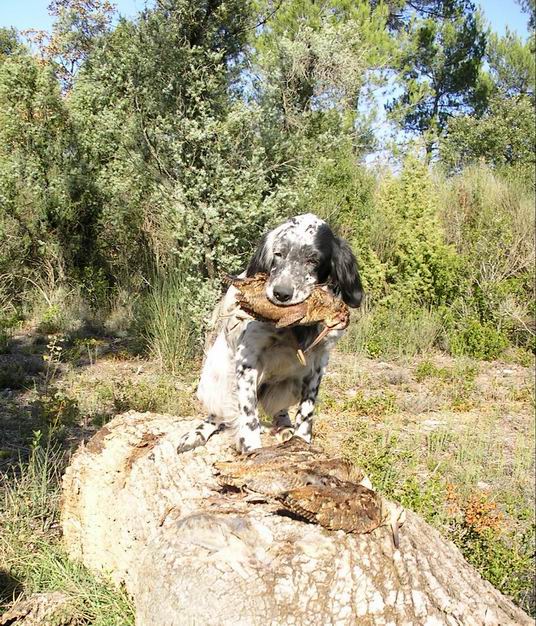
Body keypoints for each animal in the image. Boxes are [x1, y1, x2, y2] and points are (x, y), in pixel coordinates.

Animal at [177, 214, 364, 454]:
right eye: (278, 254)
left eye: (313, 260)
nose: (281, 294)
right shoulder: (247, 360)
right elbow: (248, 416)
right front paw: (251, 448)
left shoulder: (319, 363)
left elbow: (307, 412)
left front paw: (301, 440)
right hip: (214, 378)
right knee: (218, 414)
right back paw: (197, 433)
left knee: (279, 410)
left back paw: (284, 426)